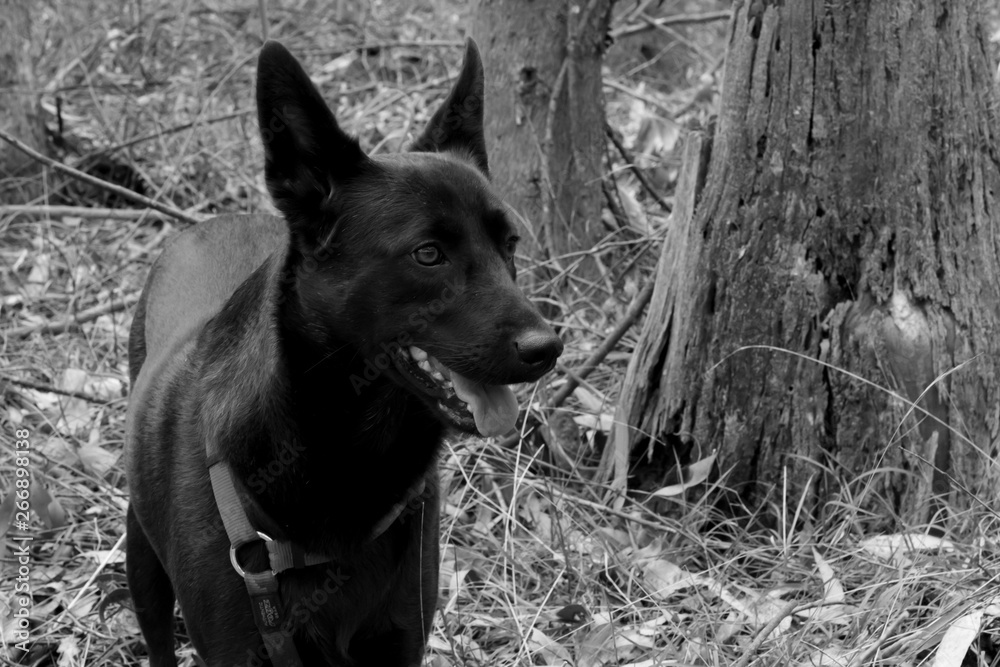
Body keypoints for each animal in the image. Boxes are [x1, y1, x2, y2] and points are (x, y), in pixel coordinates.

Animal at [125, 39, 564, 664]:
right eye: (428, 253)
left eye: (510, 245)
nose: (547, 348)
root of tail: (209, 223)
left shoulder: (402, 637)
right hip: (142, 561)